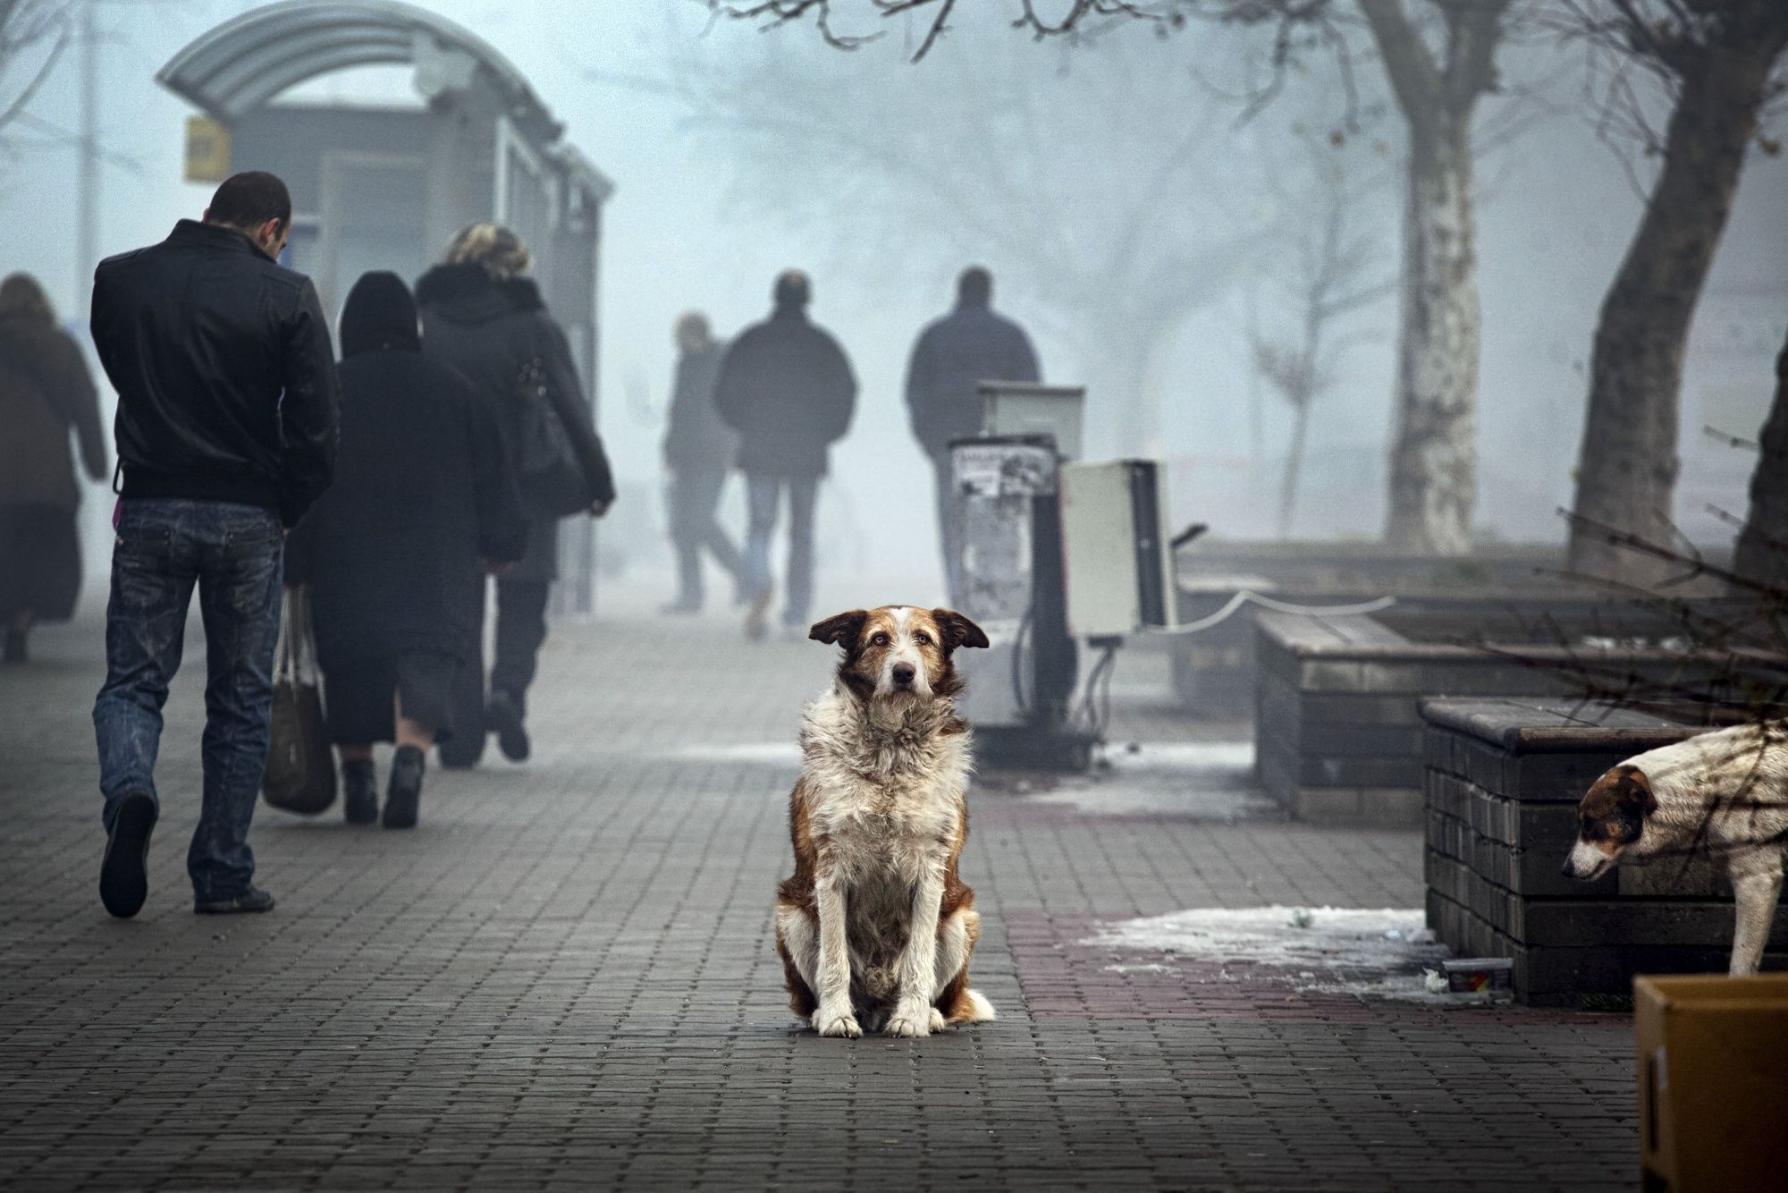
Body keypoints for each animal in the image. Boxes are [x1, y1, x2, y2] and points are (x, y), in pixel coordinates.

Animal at [775, 608, 1001, 1037]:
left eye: (924, 638)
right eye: (879, 639)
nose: (903, 672)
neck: (891, 749)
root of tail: (877, 1007)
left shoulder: (930, 873)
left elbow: (918, 958)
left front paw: (911, 1018)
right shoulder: (831, 872)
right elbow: (834, 959)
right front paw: (836, 1017)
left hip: (961, 919)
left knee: (940, 990)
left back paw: (928, 1014)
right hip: (791, 916)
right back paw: (825, 1013)